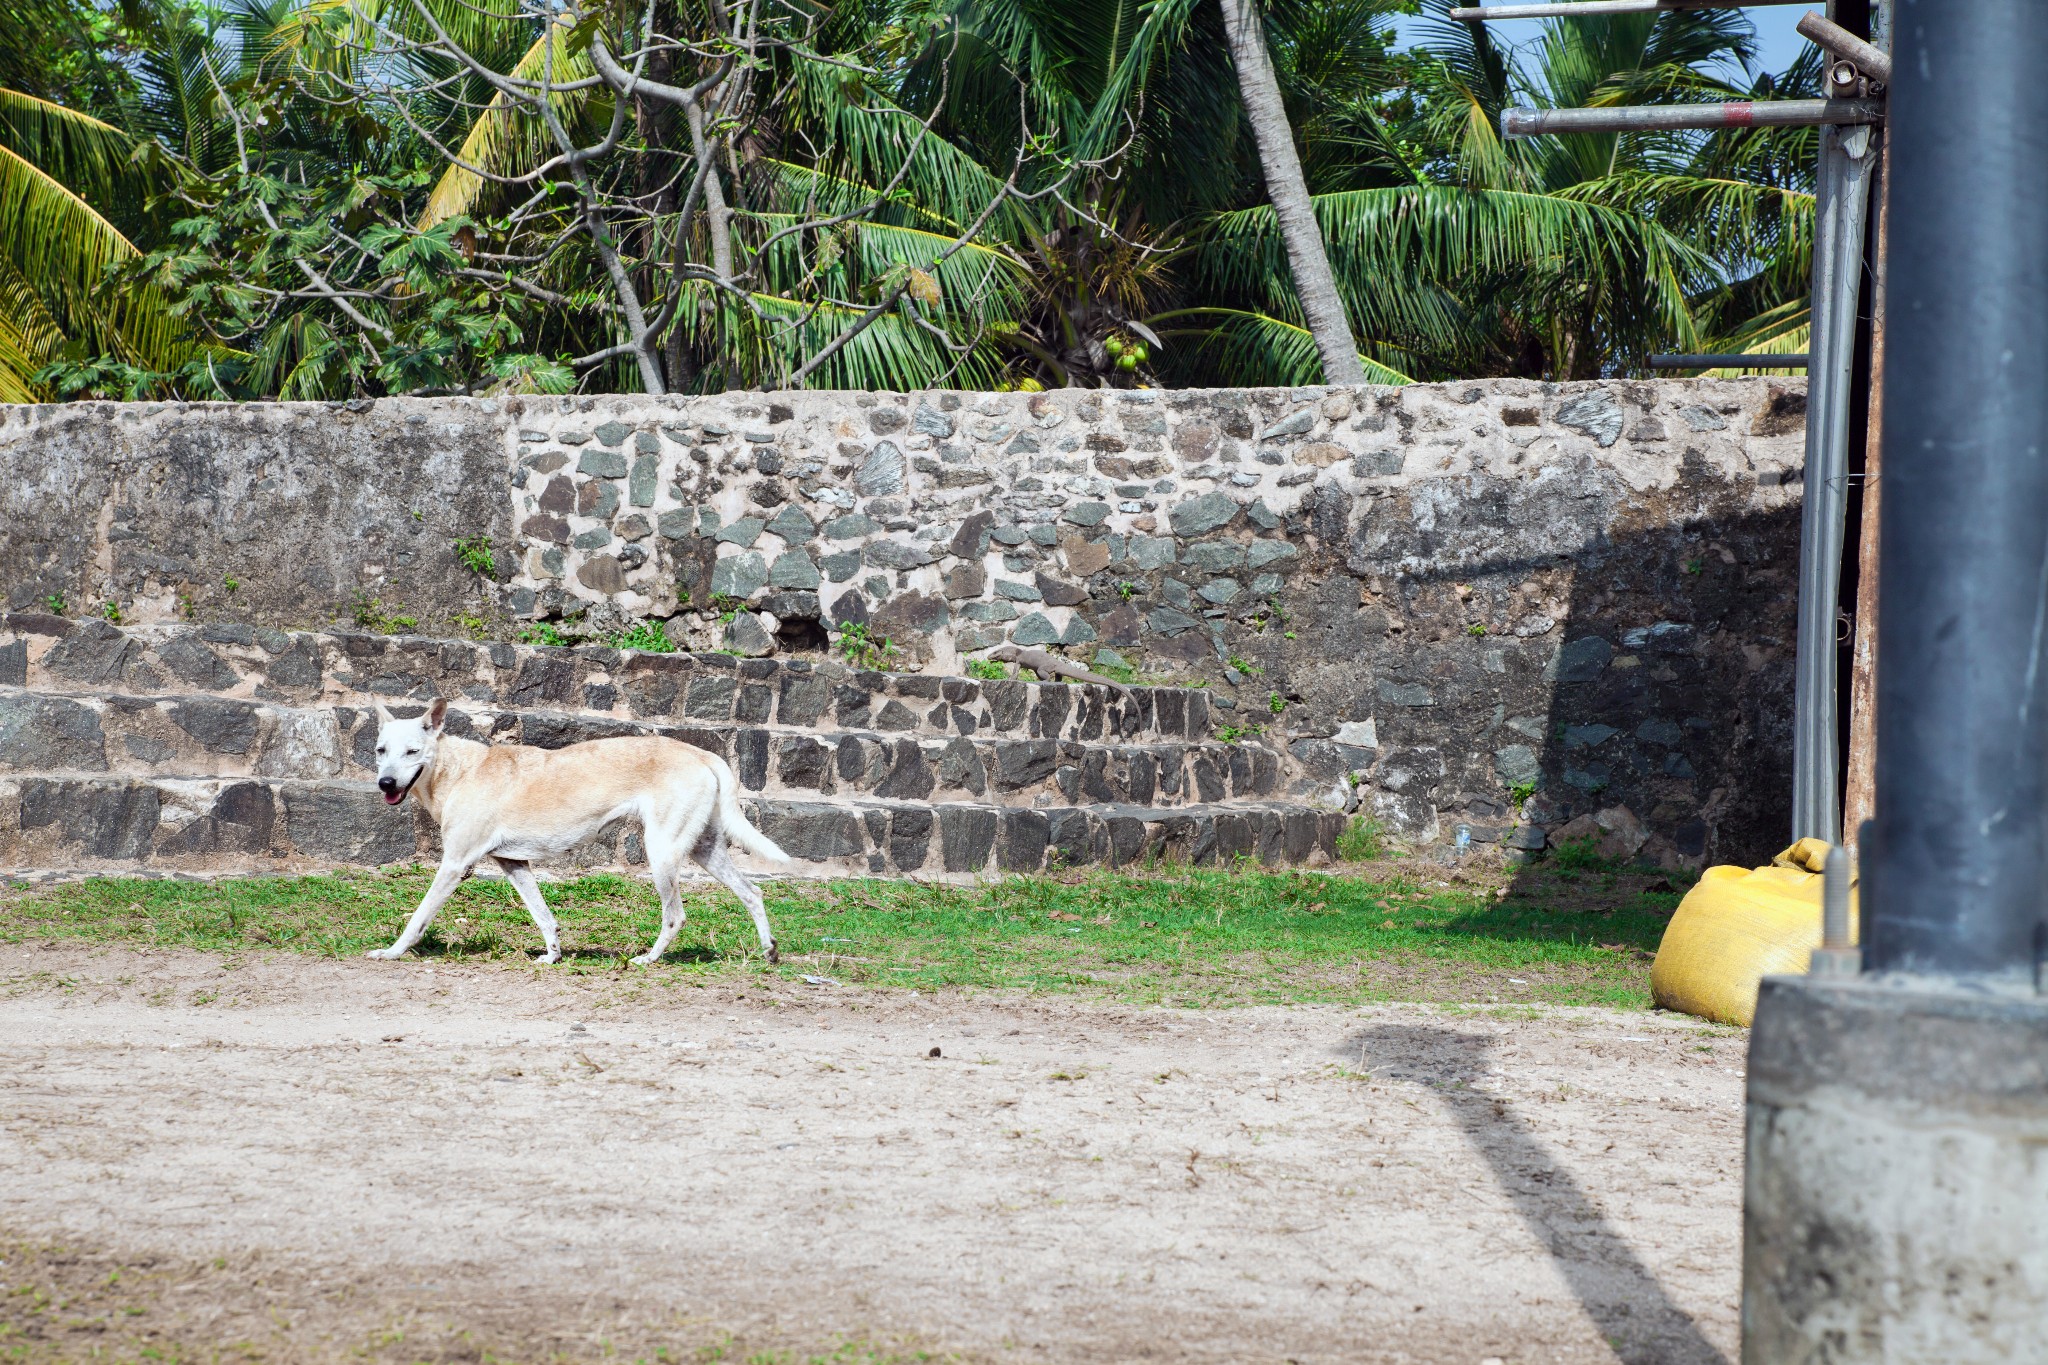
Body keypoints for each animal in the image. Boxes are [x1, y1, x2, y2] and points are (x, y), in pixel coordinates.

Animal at [364, 699, 786, 965]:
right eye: (380, 750)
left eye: (412, 752)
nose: (385, 783)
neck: (457, 771)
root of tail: (702, 753)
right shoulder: (513, 863)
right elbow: (543, 916)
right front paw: (553, 956)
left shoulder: (455, 865)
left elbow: (417, 918)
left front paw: (393, 952)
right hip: (705, 849)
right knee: (753, 893)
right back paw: (768, 951)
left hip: (662, 854)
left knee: (675, 916)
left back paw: (649, 958)